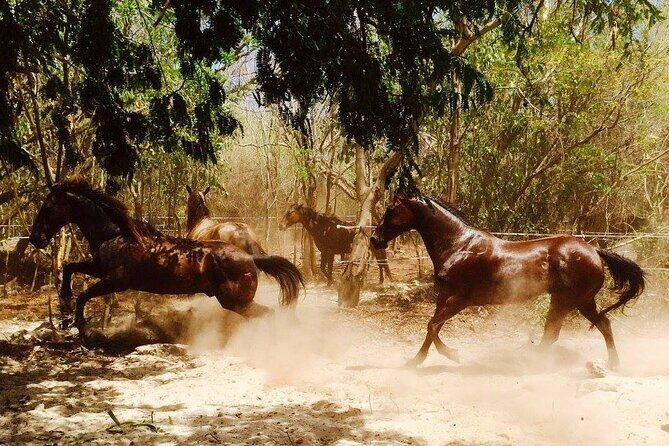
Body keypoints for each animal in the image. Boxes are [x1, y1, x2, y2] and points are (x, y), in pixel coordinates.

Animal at [29, 176, 303, 332]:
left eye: (48, 207)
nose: (35, 239)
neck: (115, 233)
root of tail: (250, 258)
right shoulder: (98, 267)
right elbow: (70, 268)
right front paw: (65, 307)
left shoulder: (116, 281)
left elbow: (84, 295)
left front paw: (80, 324)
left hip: (236, 301)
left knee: (267, 314)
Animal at [370, 194, 645, 368]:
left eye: (390, 210)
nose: (375, 239)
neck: (459, 246)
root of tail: (594, 251)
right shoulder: (444, 297)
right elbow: (432, 327)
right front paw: (414, 362)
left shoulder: (461, 299)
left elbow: (433, 325)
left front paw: (453, 355)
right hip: (582, 302)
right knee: (603, 325)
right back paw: (613, 364)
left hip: (565, 302)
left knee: (553, 334)